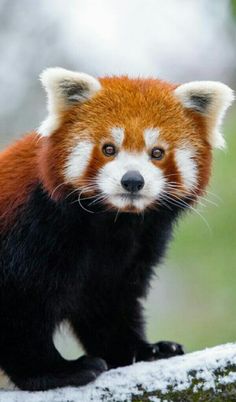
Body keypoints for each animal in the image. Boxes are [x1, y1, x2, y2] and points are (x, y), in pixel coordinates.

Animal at [0, 67, 233, 392]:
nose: (132, 180)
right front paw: (54, 371)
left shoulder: (135, 246)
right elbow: (20, 308)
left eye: (157, 153)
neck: (114, 222)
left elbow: (108, 302)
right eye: (109, 149)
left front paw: (143, 351)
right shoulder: (32, 229)